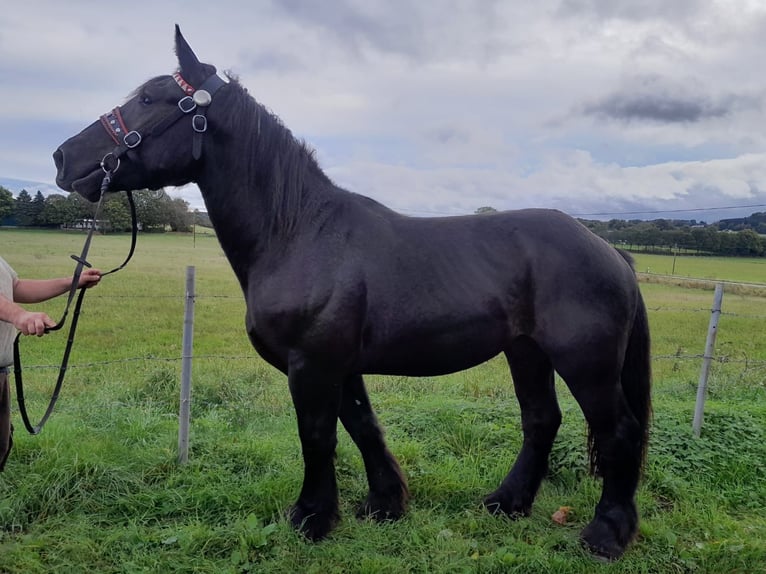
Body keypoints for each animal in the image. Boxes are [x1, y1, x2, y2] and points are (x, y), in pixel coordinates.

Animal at [55, 27, 656, 564]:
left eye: (150, 99)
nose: (63, 158)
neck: (299, 232)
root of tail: (611, 252)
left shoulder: (312, 364)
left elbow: (318, 437)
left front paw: (311, 518)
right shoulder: (339, 365)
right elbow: (363, 426)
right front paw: (384, 504)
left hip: (585, 362)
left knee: (617, 431)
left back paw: (606, 535)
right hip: (526, 350)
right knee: (541, 420)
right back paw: (506, 504)